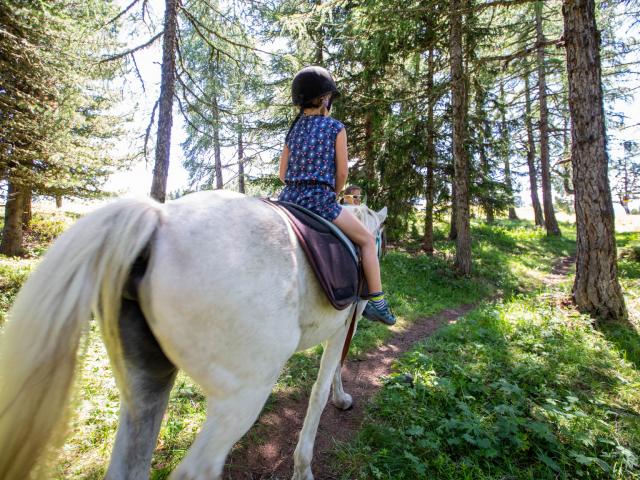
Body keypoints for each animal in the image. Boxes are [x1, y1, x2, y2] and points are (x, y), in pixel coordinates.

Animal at [0, 191, 388, 480]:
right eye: (379, 239)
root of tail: (158, 219)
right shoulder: (346, 322)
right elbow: (323, 386)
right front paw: (306, 461)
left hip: (144, 383)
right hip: (242, 395)